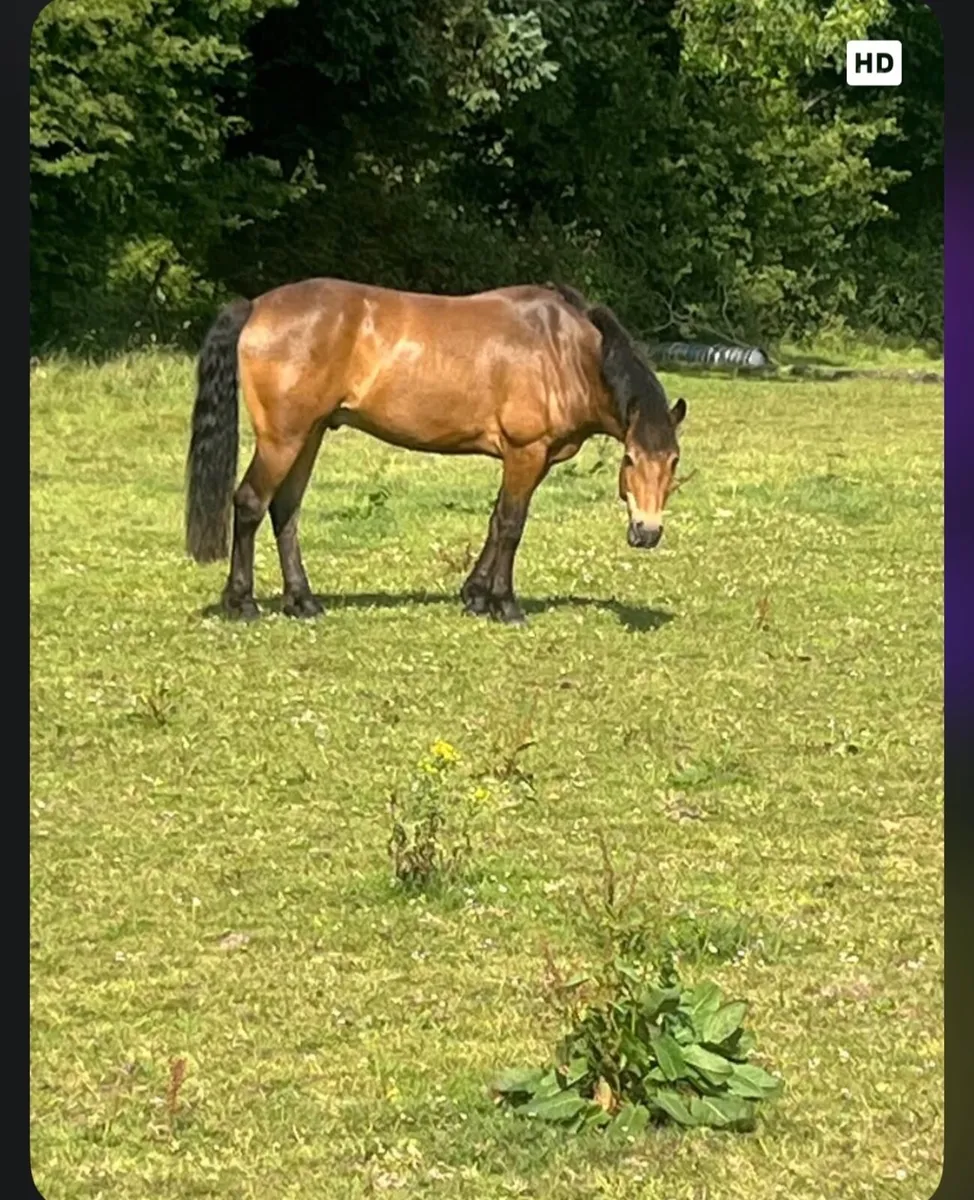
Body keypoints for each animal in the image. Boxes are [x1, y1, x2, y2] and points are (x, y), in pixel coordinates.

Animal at [184, 277, 687, 626]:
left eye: (673, 464)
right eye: (629, 460)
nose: (647, 532)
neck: (561, 350)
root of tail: (256, 307)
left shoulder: (532, 459)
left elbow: (495, 521)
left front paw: (476, 596)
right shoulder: (526, 452)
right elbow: (511, 525)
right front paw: (505, 604)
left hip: (309, 435)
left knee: (285, 510)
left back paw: (303, 601)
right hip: (283, 439)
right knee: (251, 502)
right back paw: (242, 602)